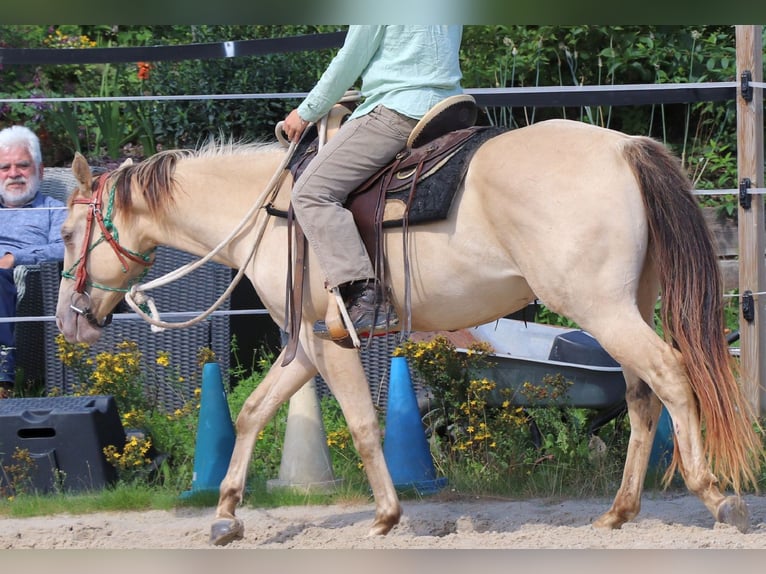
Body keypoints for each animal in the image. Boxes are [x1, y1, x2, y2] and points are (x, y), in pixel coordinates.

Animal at [54, 118, 762, 545]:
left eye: (65, 233)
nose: (68, 319)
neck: (271, 211)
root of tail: (622, 146)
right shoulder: (306, 347)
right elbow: (255, 410)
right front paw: (226, 513)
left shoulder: (327, 340)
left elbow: (364, 424)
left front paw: (386, 517)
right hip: (626, 306)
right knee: (643, 396)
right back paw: (619, 511)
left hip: (602, 308)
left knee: (671, 375)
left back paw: (715, 496)